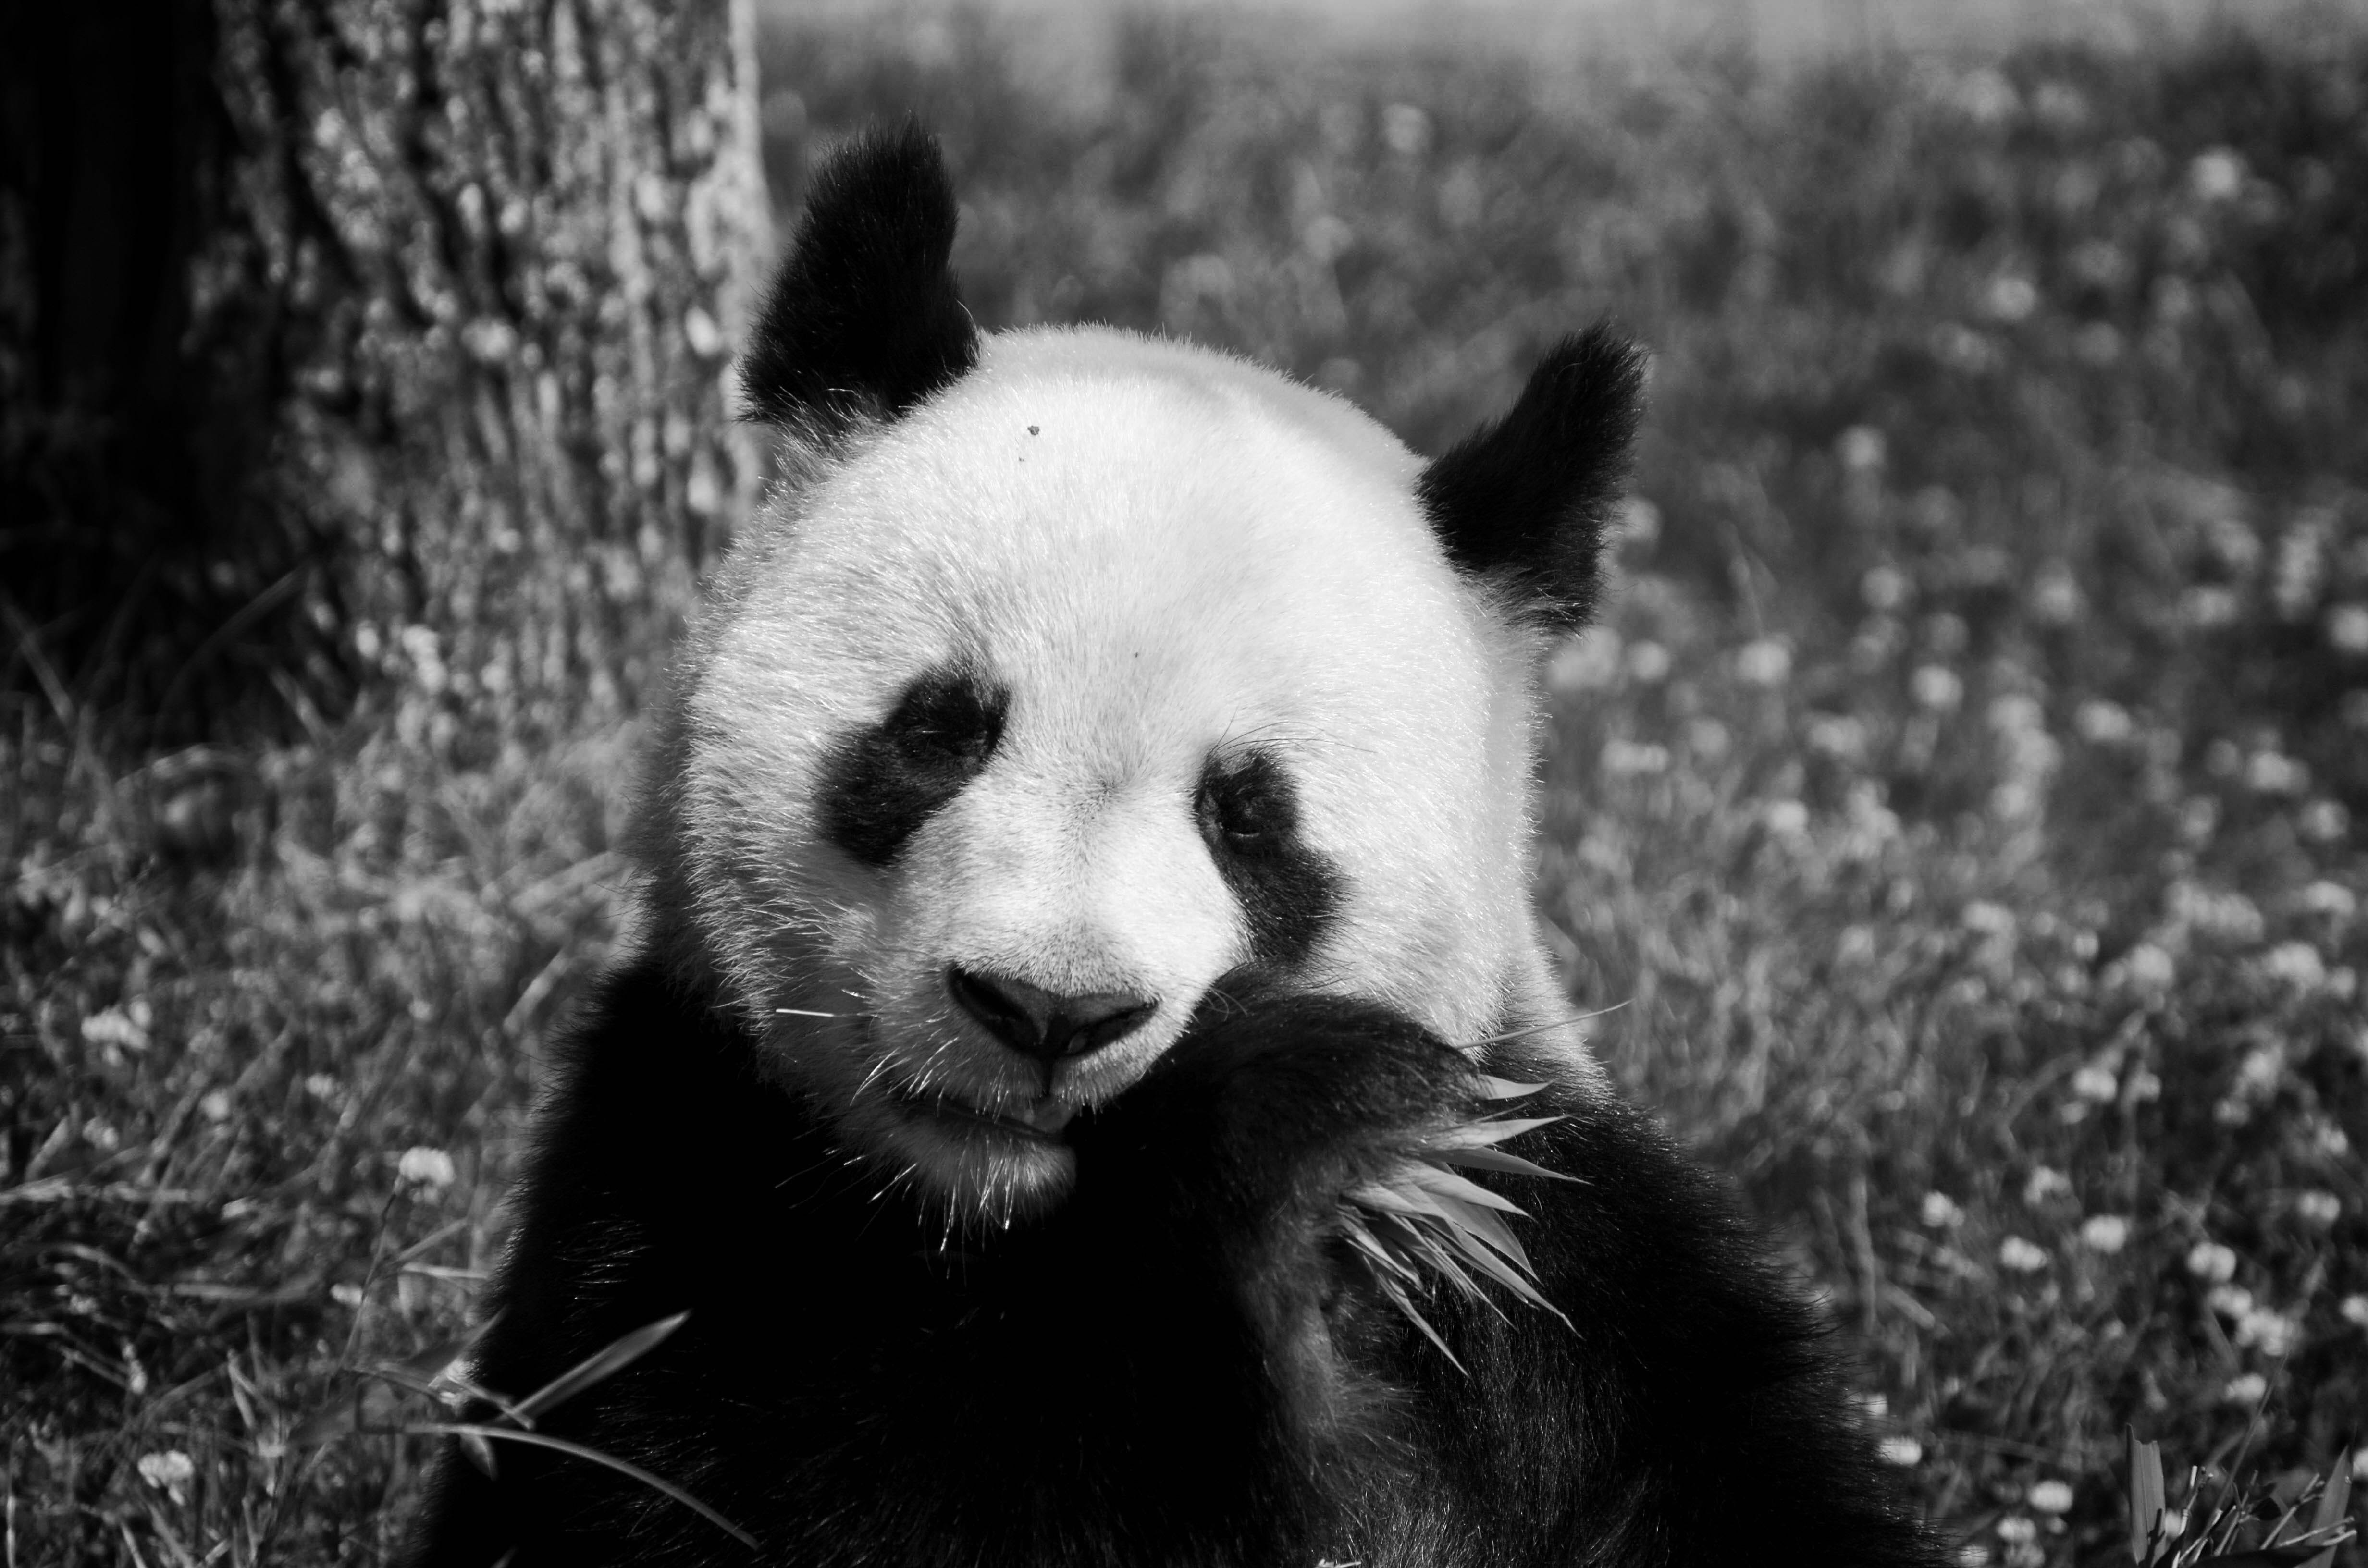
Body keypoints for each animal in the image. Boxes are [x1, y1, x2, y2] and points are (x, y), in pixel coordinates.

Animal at [410, 125, 1941, 1568]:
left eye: (1249, 816)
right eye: (941, 732)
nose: (1047, 1011)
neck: (1003, 1219)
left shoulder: (1587, 1286)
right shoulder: (691, 1176)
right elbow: (735, 1488)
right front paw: (1281, 1118)